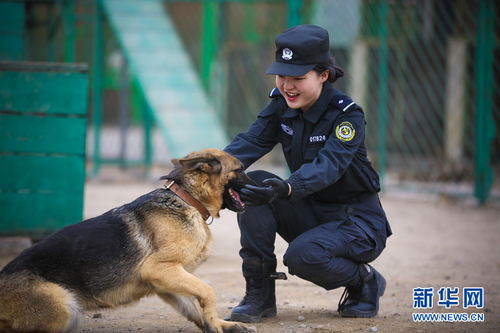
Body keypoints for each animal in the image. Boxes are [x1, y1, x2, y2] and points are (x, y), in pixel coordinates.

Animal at [0, 148, 254, 332]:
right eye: (240, 169)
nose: (261, 185)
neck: (187, 199)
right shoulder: (160, 269)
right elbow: (207, 291)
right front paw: (216, 323)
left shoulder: (166, 281)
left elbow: (194, 306)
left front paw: (220, 325)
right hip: (64, 306)